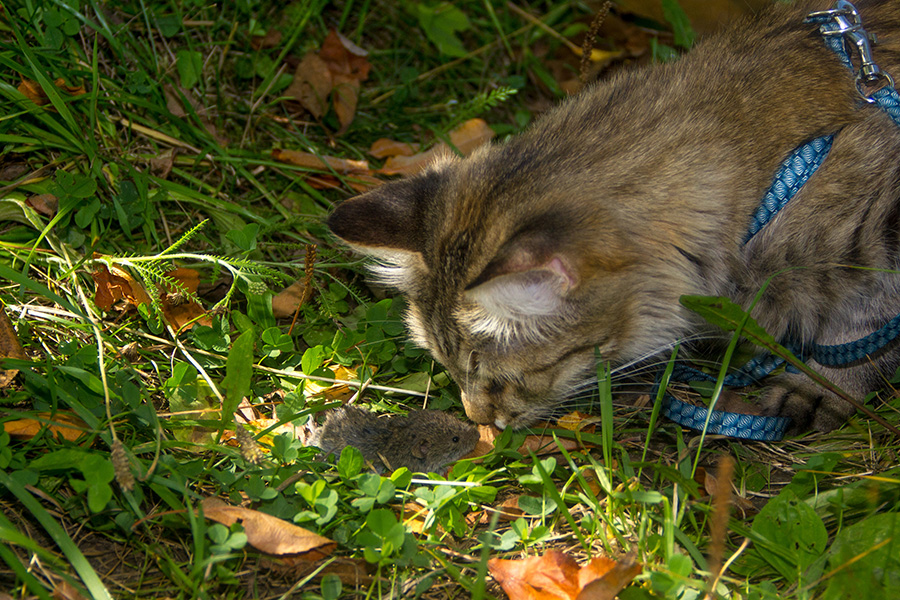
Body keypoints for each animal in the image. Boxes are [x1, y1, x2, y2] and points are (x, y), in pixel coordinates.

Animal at [326, 0, 900, 432]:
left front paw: (824, 384)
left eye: (498, 380)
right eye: (445, 368)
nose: (480, 422)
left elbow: (858, 329)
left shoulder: (879, 239)